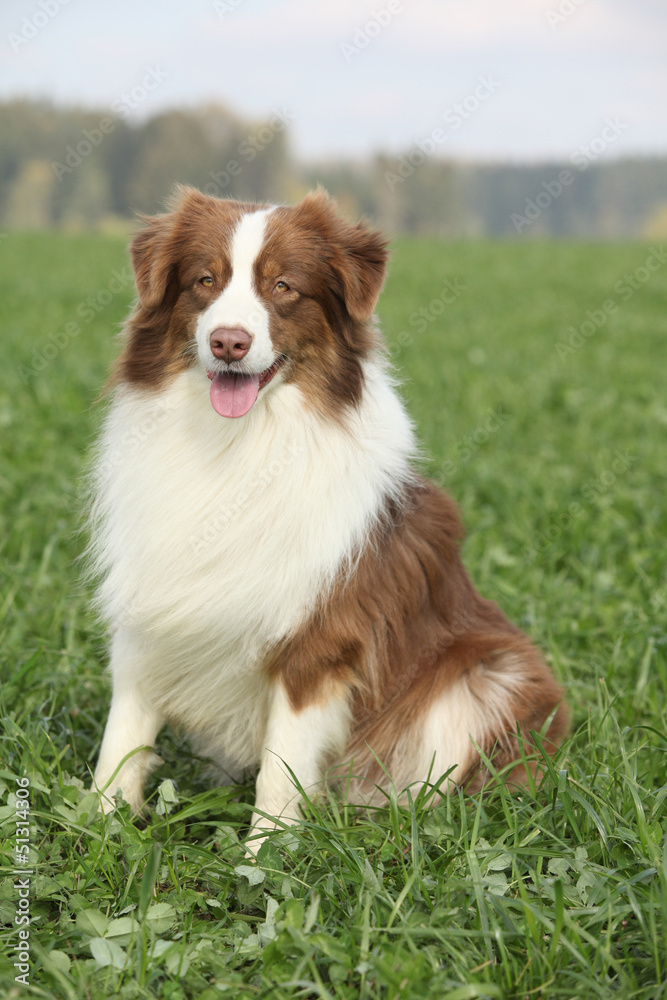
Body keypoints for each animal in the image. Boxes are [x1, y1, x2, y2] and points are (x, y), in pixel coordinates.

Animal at [90, 186, 568, 836]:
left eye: (283, 286)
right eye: (205, 280)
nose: (228, 342)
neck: (236, 444)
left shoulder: (319, 643)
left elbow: (280, 770)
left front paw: (265, 853)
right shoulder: (150, 605)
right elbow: (123, 736)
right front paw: (97, 828)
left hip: (491, 677)